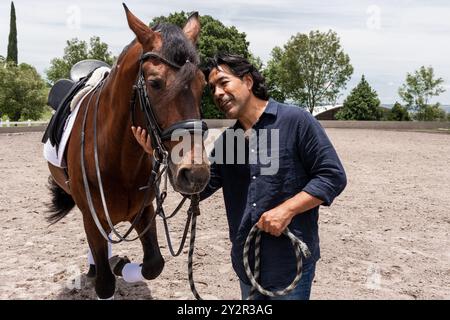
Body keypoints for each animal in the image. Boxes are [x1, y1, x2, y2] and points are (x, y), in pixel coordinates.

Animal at [44, 4, 210, 300]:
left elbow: (154, 265)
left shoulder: (145, 211)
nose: (196, 174)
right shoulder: (93, 216)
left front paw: (120, 265)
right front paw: (109, 267)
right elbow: (105, 284)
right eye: (154, 83)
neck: (117, 158)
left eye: (202, 84)